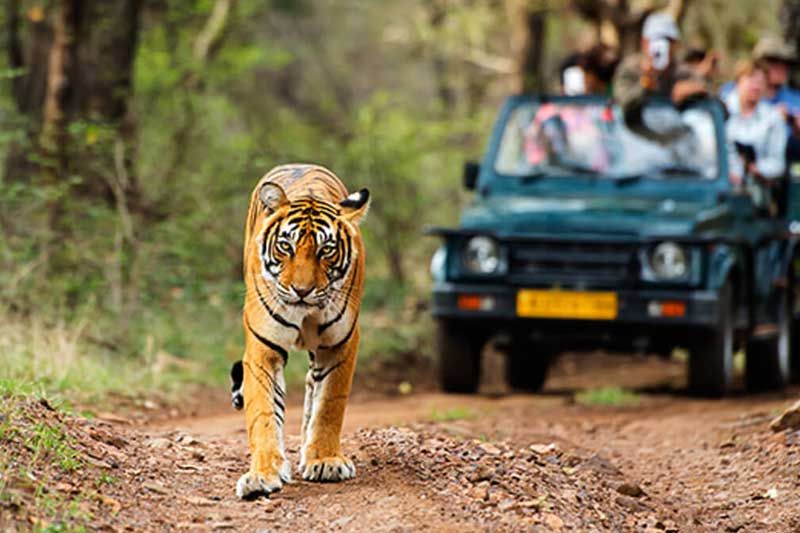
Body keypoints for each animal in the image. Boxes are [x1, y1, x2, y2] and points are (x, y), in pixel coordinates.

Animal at [231, 162, 368, 498]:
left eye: (326, 250)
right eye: (286, 246)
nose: (302, 291)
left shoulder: (340, 344)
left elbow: (329, 404)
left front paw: (325, 460)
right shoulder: (262, 349)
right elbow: (264, 413)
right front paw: (262, 475)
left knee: (311, 388)